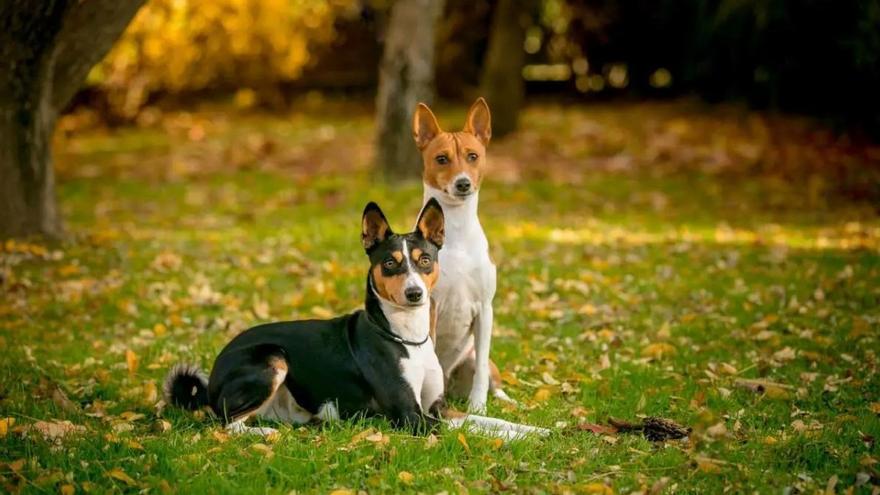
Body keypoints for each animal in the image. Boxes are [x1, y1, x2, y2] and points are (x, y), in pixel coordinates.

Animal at [414, 98, 512, 414]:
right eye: (441, 159)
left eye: (472, 156)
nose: (463, 184)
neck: (453, 229)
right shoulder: (430, 306)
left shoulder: (485, 309)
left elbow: (480, 370)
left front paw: (478, 408)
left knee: (493, 379)